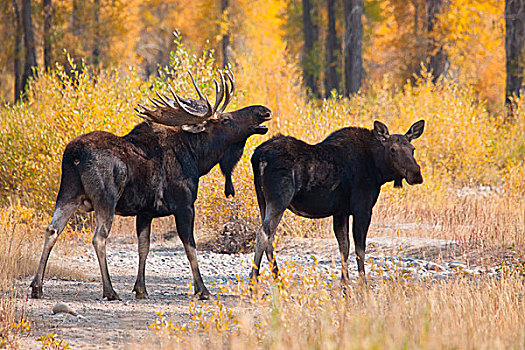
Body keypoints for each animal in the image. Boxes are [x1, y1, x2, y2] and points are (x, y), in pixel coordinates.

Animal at [30, 71, 272, 300]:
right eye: (225, 120)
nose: (264, 111)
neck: (198, 157)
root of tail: (75, 156)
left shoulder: (145, 211)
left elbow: (143, 248)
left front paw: (141, 289)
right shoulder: (184, 206)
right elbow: (190, 248)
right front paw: (202, 290)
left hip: (67, 194)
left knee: (52, 229)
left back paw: (37, 287)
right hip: (105, 199)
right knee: (99, 238)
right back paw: (110, 290)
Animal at [248, 120, 424, 284]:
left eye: (413, 149)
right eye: (393, 150)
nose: (416, 174)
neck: (378, 169)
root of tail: (258, 157)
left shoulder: (341, 211)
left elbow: (344, 246)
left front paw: (345, 283)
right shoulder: (363, 209)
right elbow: (360, 249)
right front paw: (363, 284)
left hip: (262, 200)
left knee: (269, 237)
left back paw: (277, 279)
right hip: (279, 199)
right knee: (263, 233)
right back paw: (254, 281)